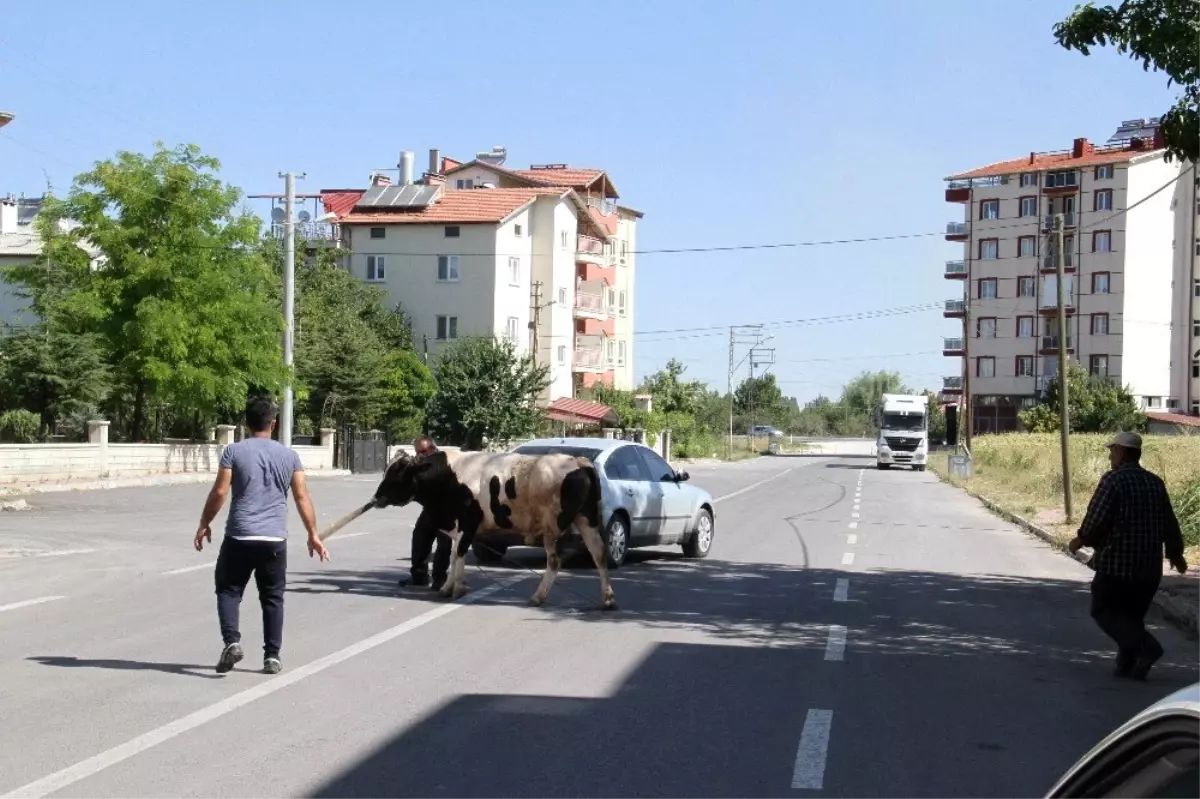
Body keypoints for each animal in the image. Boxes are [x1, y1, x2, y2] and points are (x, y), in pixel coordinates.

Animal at [374, 448, 619, 609]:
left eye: (398, 472)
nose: (376, 497)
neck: (449, 476)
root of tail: (577, 462)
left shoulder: (468, 521)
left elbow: (459, 554)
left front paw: (456, 589)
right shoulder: (458, 525)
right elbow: (453, 555)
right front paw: (447, 587)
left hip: (552, 527)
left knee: (554, 561)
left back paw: (538, 596)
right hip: (586, 520)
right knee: (599, 553)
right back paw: (607, 598)